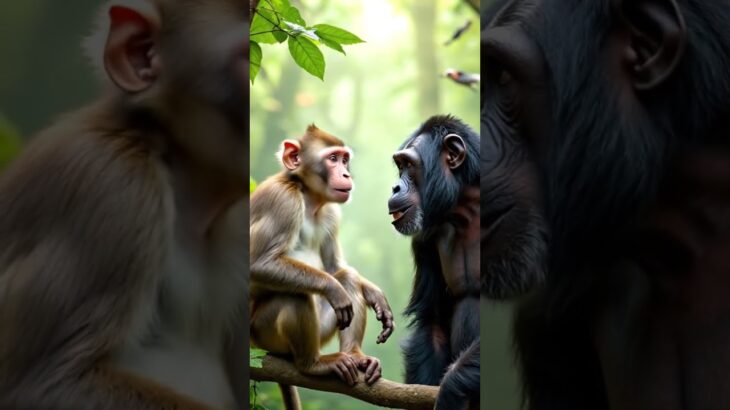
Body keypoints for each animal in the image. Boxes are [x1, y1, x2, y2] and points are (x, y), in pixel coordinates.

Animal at [250, 125, 395, 410]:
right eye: (332, 159)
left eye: (344, 159)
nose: (346, 173)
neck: (307, 197)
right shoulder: (282, 200)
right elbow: (259, 264)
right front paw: (332, 287)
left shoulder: (330, 213)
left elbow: (334, 265)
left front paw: (374, 294)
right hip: (261, 332)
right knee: (296, 295)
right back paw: (312, 365)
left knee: (347, 277)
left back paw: (355, 355)